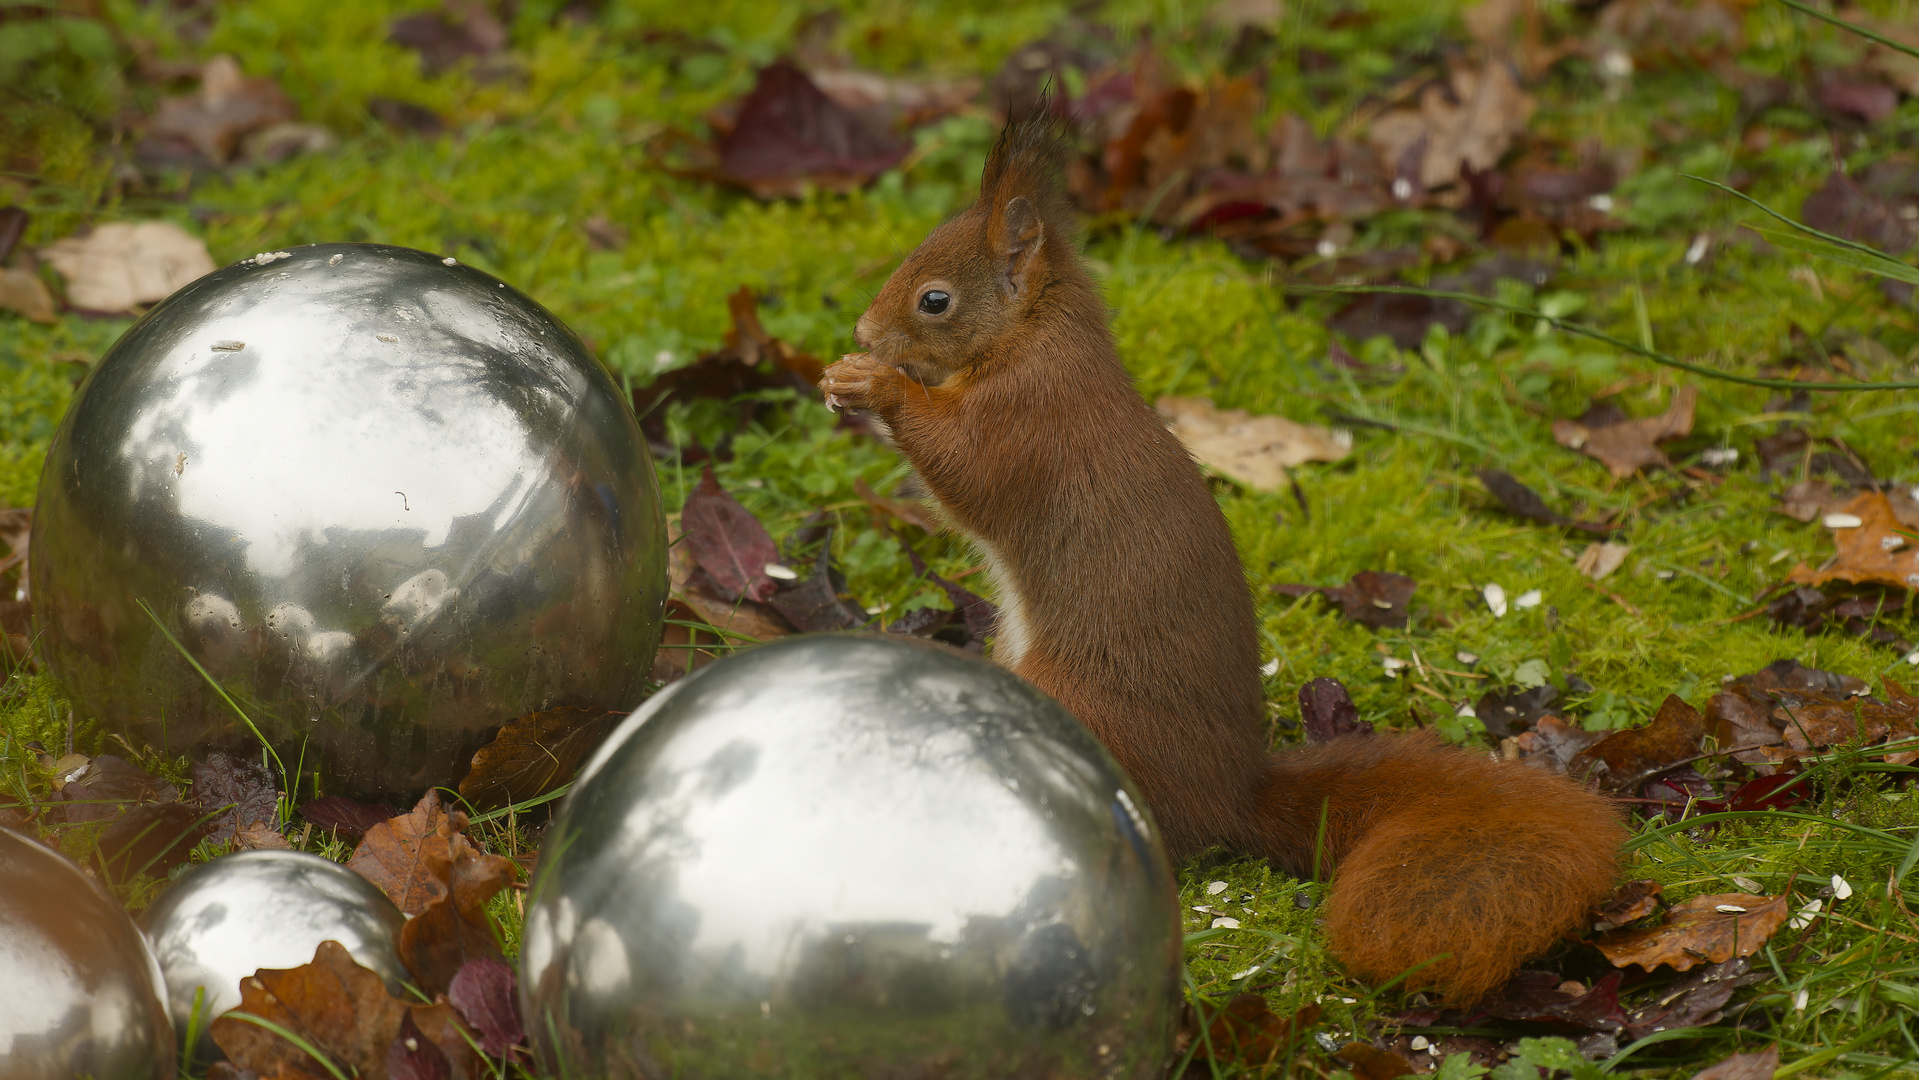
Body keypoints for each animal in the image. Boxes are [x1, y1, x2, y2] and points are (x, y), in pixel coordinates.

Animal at [817, 114, 1627, 1005]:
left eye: (935, 299)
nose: (861, 335)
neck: (1032, 338)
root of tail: (1229, 795)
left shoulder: (1027, 423)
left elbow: (965, 473)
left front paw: (876, 386)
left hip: (1082, 711)